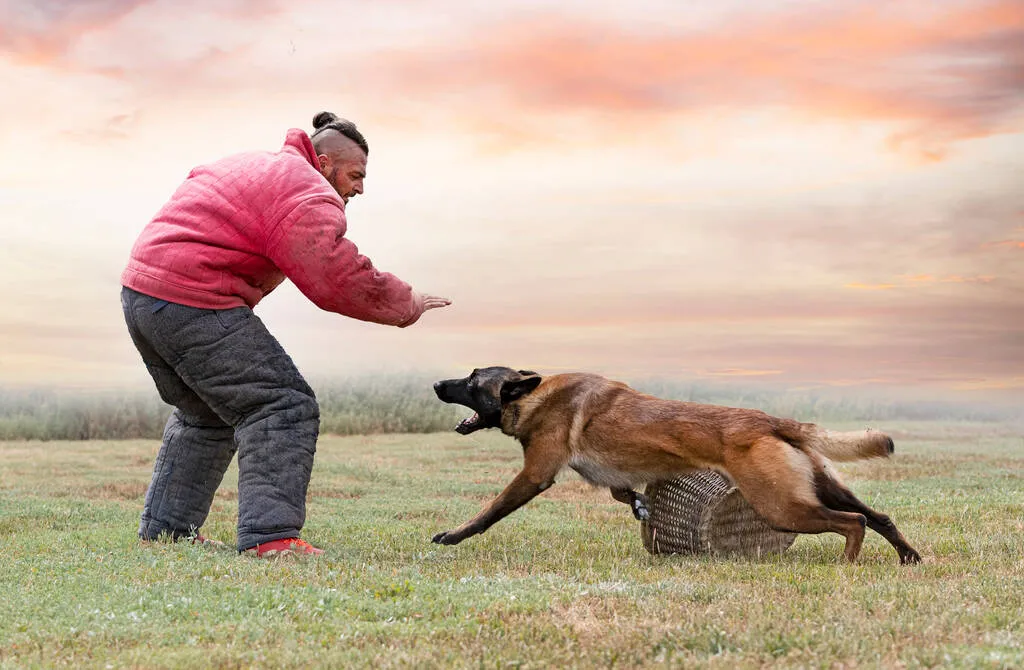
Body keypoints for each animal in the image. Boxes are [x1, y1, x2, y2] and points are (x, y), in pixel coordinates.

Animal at [428, 370, 925, 565]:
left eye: (471, 380)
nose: (435, 384)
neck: (535, 394)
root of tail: (771, 420)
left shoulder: (535, 475)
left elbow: (489, 512)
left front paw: (452, 536)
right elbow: (625, 493)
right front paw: (640, 508)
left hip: (782, 506)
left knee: (854, 522)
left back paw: (848, 563)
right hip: (819, 487)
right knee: (879, 516)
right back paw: (909, 557)